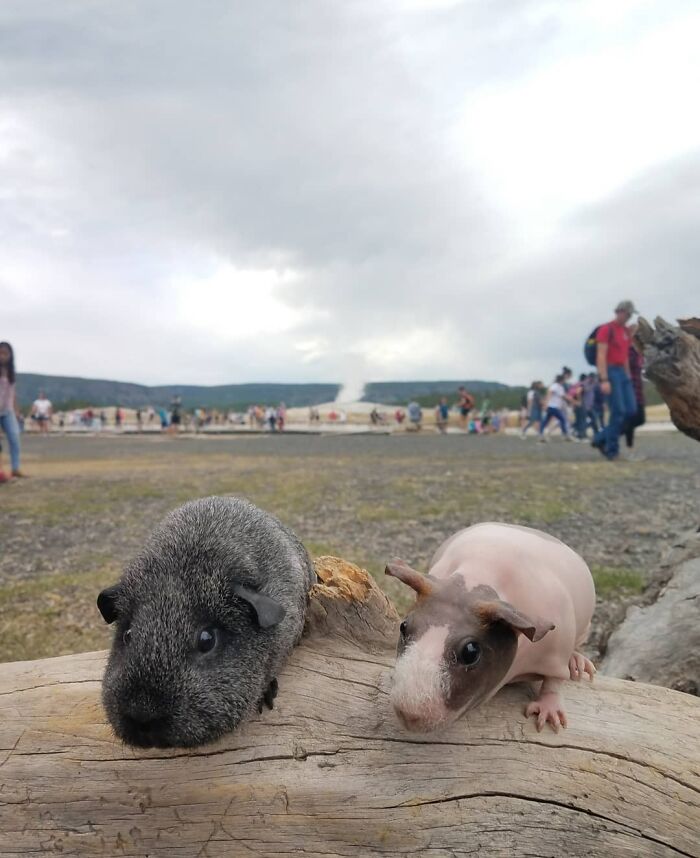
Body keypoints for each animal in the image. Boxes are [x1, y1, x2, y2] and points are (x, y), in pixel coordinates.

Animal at [386, 522, 596, 733]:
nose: (408, 715)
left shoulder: (557, 648)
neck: (476, 579)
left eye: (471, 651)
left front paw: (548, 712)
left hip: (583, 629)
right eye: (403, 626)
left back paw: (579, 663)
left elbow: (555, 679)